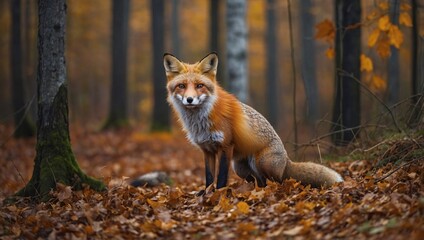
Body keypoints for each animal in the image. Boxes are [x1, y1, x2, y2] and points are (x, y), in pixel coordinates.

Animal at [163, 53, 344, 193]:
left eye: (199, 85)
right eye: (181, 86)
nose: (189, 99)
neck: (201, 121)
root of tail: (287, 159)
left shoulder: (225, 146)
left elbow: (221, 177)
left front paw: (219, 193)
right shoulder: (207, 150)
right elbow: (209, 177)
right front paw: (206, 193)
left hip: (262, 163)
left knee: (280, 181)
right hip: (241, 168)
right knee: (260, 181)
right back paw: (255, 191)